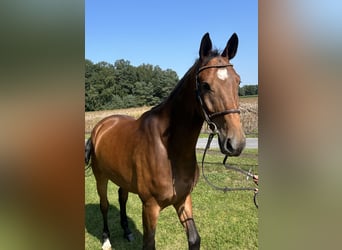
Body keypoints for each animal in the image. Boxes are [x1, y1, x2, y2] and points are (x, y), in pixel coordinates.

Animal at [85, 33, 246, 250]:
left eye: (238, 82)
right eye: (205, 85)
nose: (235, 143)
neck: (169, 149)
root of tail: (100, 127)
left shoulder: (183, 199)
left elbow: (194, 239)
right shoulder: (150, 206)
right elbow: (149, 243)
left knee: (122, 197)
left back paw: (127, 232)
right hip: (100, 177)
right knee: (104, 205)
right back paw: (106, 239)